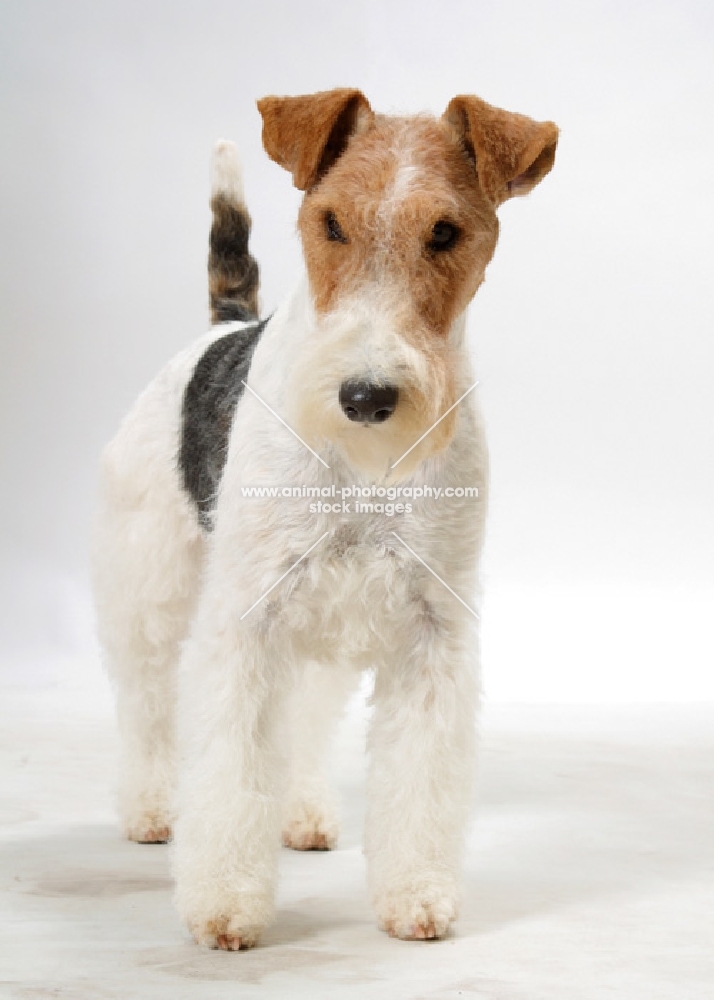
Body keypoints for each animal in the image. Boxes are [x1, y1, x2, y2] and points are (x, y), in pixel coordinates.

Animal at [90, 90, 556, 948]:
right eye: (331, 223)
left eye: (446, 232)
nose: (366, 397)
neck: (365, 468)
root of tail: (222, 328)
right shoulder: (247, 617)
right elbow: (232, 764)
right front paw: (224, 905)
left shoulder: (432, 623)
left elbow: (418, 779)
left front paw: (417, 897)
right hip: (149, 587)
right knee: (145, 706)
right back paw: (151, 810)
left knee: (302, 720)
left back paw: (302, 814)